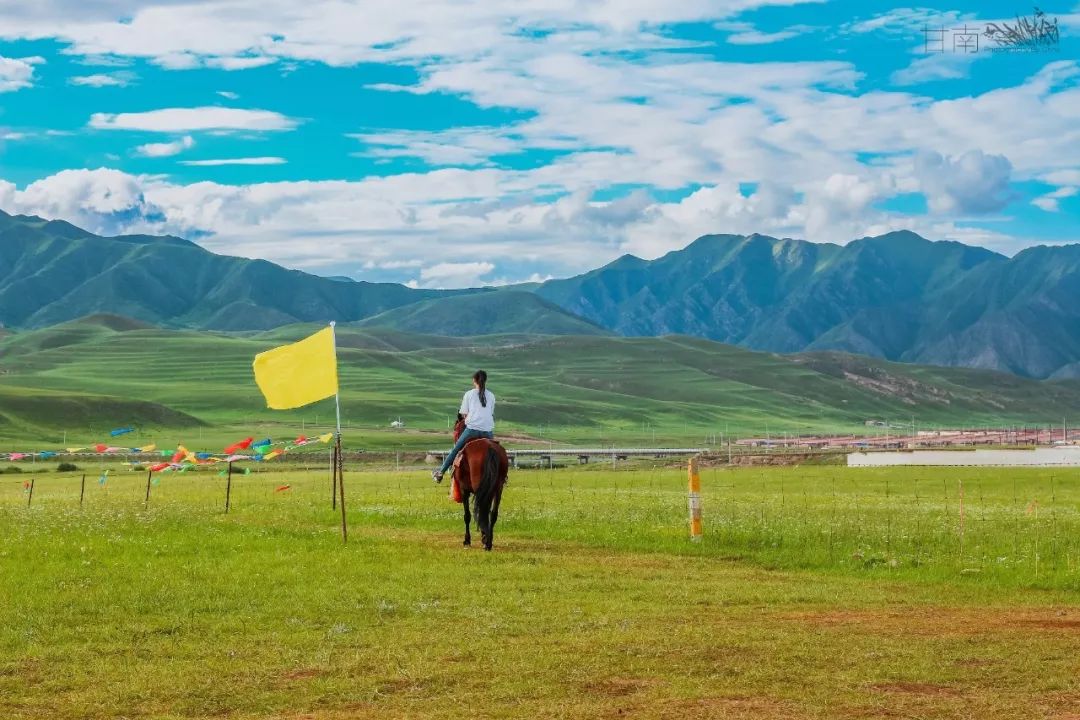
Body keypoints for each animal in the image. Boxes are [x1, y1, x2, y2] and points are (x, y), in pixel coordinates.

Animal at [451, 416, 509, 552]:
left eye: (455, 429)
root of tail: (489, 448)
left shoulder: (464, 490)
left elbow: (467, 515)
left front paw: (467, 540)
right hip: (497, 488)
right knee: (492, 513)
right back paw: (489, 541)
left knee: (482, 509)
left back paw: (486, 542)